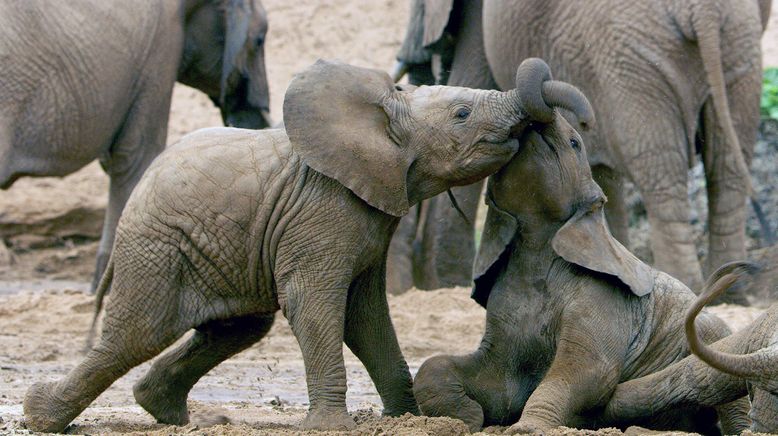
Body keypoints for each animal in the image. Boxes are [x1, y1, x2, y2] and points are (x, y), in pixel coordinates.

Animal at [22, 58, 596, 432]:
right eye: (461, 113)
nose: (577, 124)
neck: (384, 114)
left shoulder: (370, 217)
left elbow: (365, 315)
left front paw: (409, 417)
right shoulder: (322, 209)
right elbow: (315, 304)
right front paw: (331, 426)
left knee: (237, 328)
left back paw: (167, 414)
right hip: (157, 248)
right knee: (135, 335)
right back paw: (39, 414)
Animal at [412, 105, 744, 432]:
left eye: (575, 143)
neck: (537, 245)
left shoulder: (605, 296)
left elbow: (585, 371)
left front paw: (525, 428)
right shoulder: (504, 309)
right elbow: (466, 375)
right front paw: (467, 419)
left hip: (710, 333)